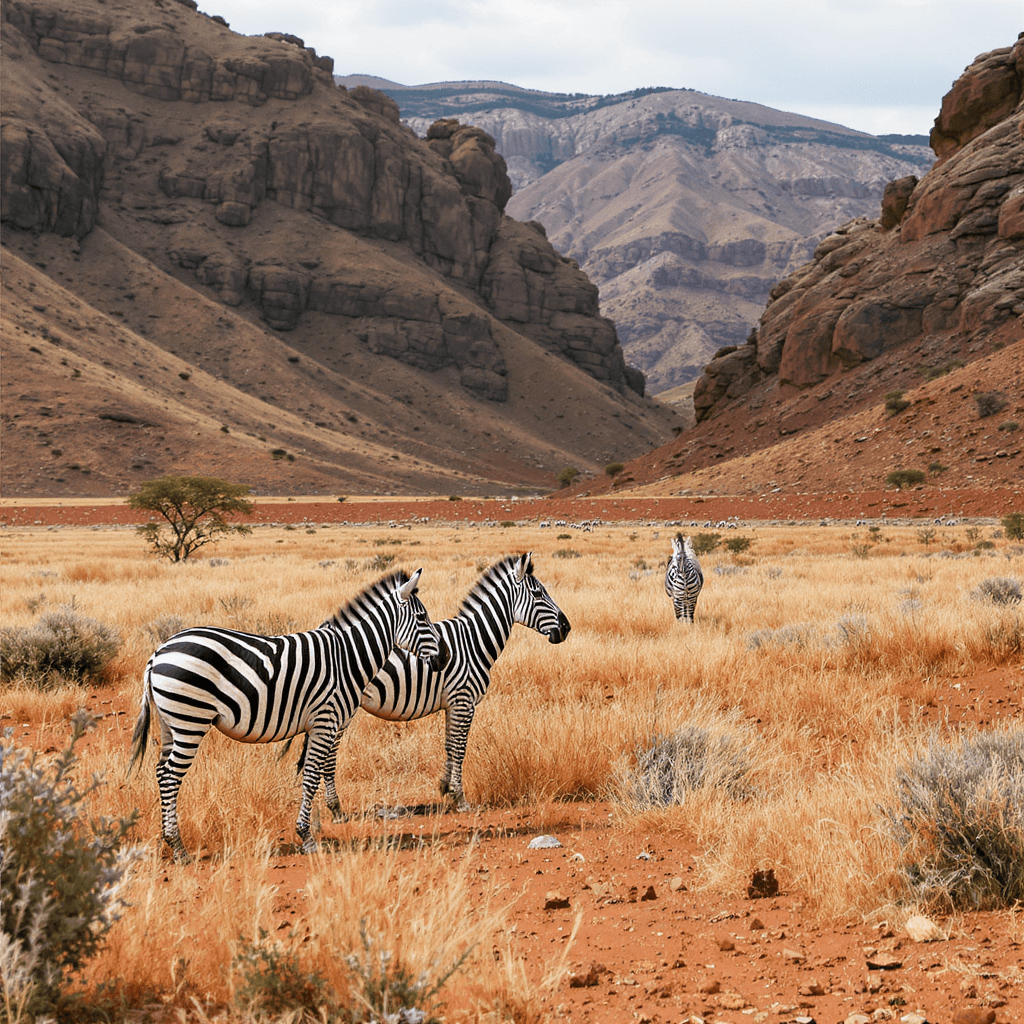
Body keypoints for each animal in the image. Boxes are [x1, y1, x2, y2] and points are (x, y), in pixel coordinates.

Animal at [128, 568, 444, 861]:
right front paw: (307, 837)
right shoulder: (325, 720)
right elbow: (312, 775)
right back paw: (179, 848)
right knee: (170, 775)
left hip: (170, 724)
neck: (348, 656)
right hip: (190, 720)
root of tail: (158, 652)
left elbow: (314, 770)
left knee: (161, 772)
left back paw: (168, 841)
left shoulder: (321, 723)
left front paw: (316, 825)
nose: (445, 658)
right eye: (422, 618)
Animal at [311, 552, 570, 813]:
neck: (474, 641)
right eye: (538, 594)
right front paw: (460, 798)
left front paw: (446, 787)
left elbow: (449, 745)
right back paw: (335, 806)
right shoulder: (464, 700)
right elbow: (460, 747)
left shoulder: (451, 704)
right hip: (342, 707)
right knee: (330, 753)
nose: (566, 628)